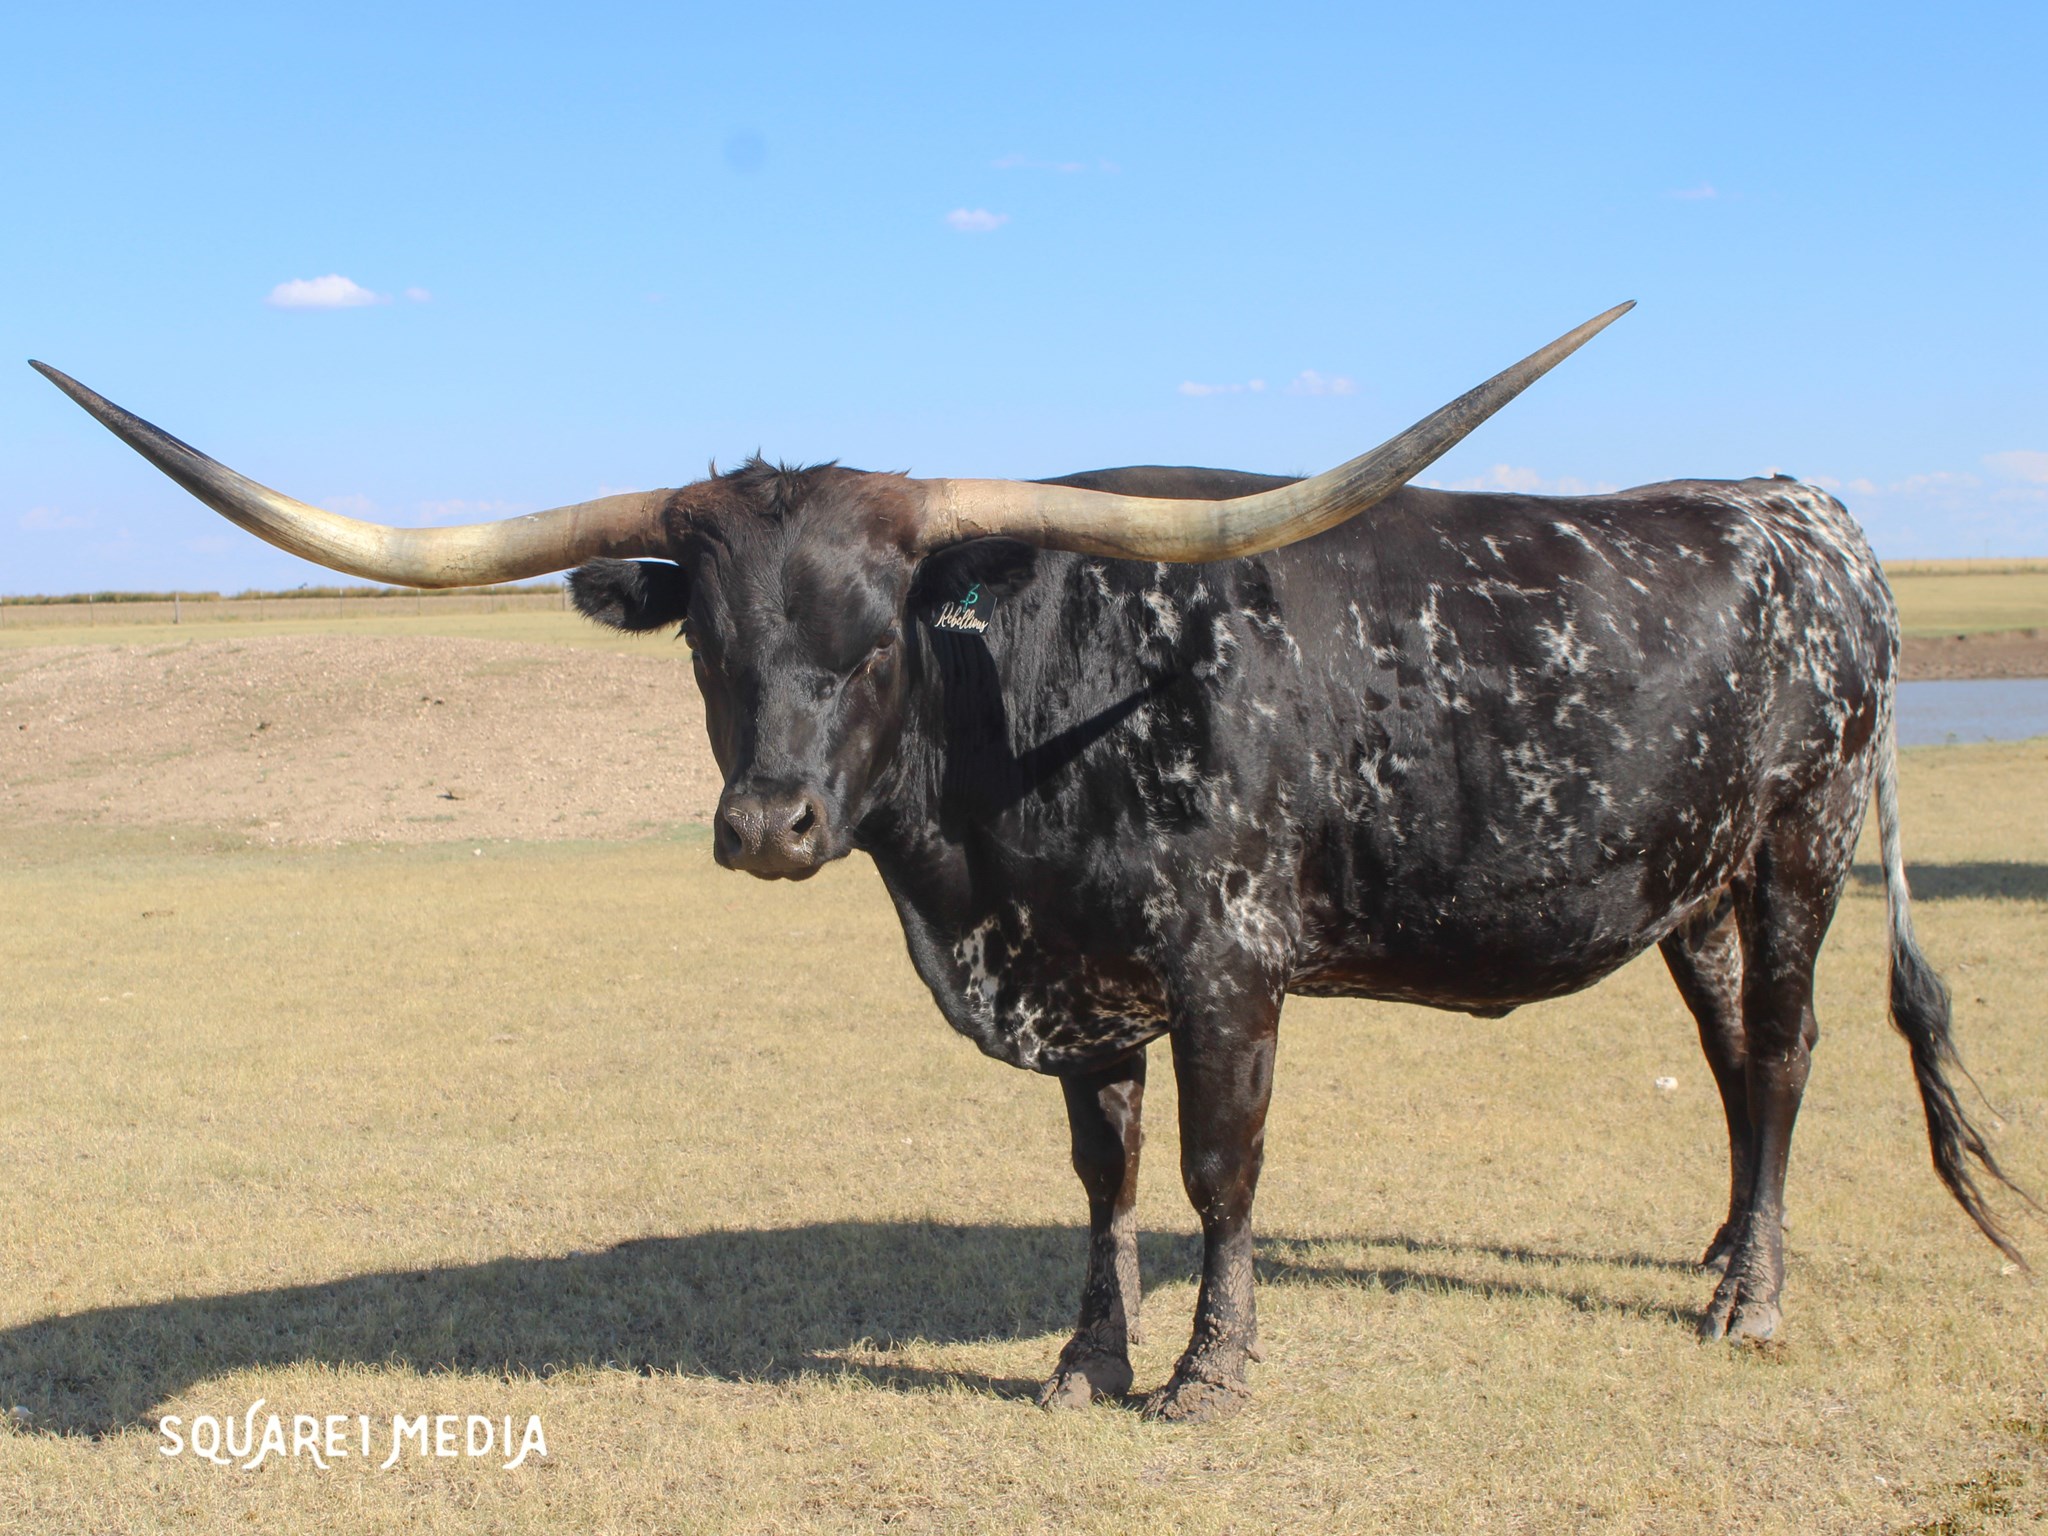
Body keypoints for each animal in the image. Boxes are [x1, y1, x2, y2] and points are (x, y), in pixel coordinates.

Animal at [31, 306, 2029, 1422]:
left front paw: (1207, 1378)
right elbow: (1102, 1176)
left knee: (1787, 1055)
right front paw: (1084, 1364)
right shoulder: (1081, 979)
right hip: (1683, 885)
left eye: (879, 635)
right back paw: (1716, 1252)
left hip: (1800, 850)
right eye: (708, 645)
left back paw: (1749, 1302)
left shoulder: (1227, 966)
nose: (764, 828)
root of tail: (1803, 514)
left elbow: (1219, 1171)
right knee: (1734, 1069)